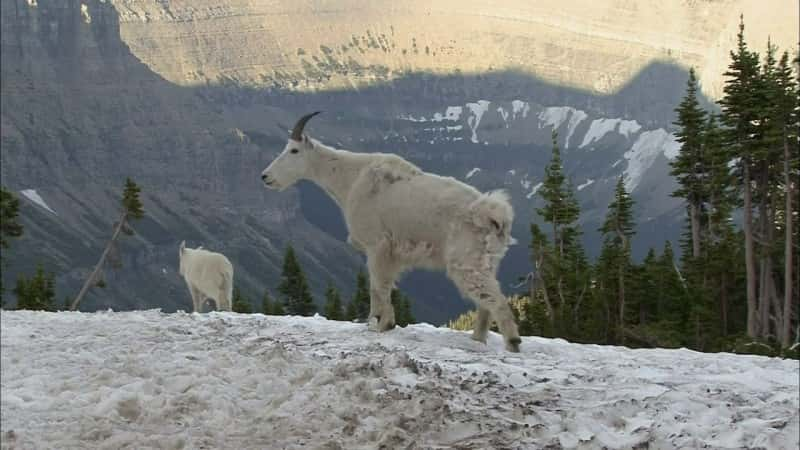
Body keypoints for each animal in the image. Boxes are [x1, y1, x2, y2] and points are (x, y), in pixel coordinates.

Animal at [262, 111, 520, 352]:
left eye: (294, 150)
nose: (265, 176)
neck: (349, 178)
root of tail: (493, 214)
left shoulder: (377, 246)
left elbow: (377, 285)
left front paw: (380, 323)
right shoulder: (390, 255)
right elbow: (383, 285)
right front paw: (384, 322)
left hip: (466, 262)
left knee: (496, 301)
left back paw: (513, 343)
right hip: (487, 262)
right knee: (485, 303)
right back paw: (478, 340)